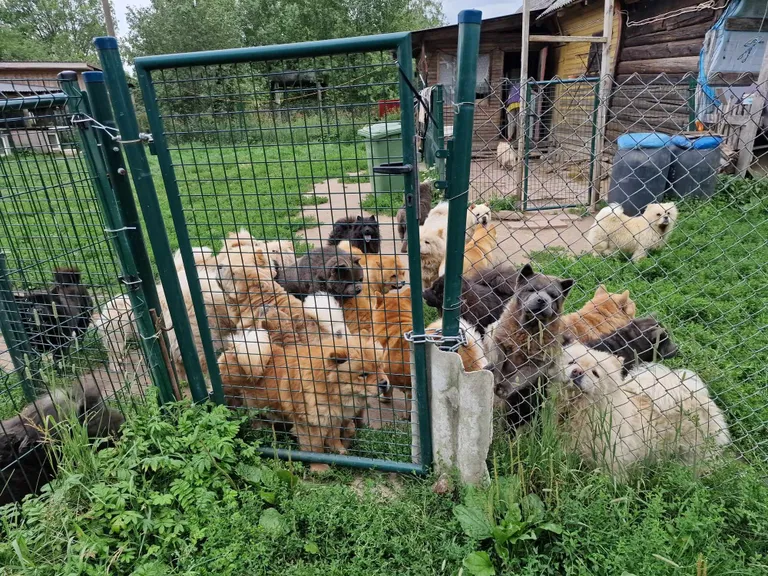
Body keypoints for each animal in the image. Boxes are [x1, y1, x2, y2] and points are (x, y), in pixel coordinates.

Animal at [218, 330, 390, 470]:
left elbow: (334, 437)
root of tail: (234, 349)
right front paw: (320, 468)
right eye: (363, 374)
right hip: (233, 401)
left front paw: (339, 451)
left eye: (381, 367)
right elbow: (315, 448)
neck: (333, 391)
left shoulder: (333, 417)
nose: (384, 383)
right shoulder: (310, 423)